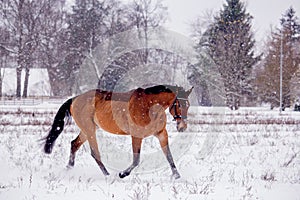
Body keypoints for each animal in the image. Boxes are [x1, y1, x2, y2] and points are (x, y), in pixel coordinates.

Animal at [43, 85, 193, 179]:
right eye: (179, 104)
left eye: (188, 105)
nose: (182, 127)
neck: (149, 106)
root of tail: (75, 99)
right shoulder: (136, 136)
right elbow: (136, 160)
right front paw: (122, 174)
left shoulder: (161, 134)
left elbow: (169, 156)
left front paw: (177, 176)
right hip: (89, 130)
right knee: (94, 153)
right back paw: (108, 176)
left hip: (88, 129)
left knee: (74, 144)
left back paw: (68, 169)